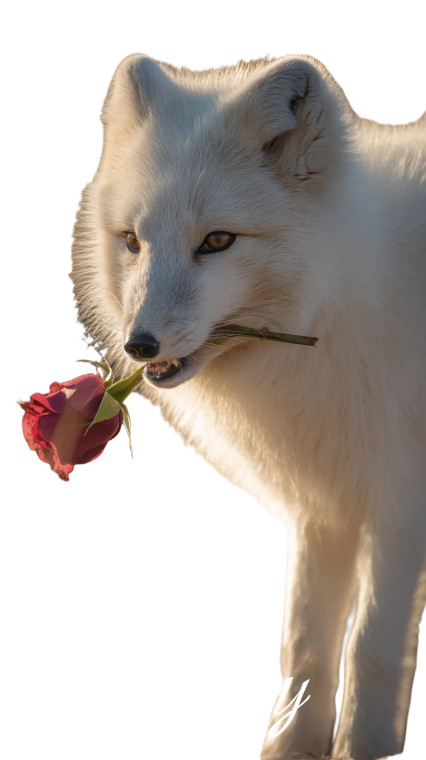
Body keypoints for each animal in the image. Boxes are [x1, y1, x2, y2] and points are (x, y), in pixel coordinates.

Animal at [70, 53, 426, 760]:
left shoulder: (400, 500)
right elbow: (304, 646)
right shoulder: (324, 502)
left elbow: (371, 647)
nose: (138, 343)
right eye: (133, 241)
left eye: (217, 241)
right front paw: (291, 745)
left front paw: (364, 746)